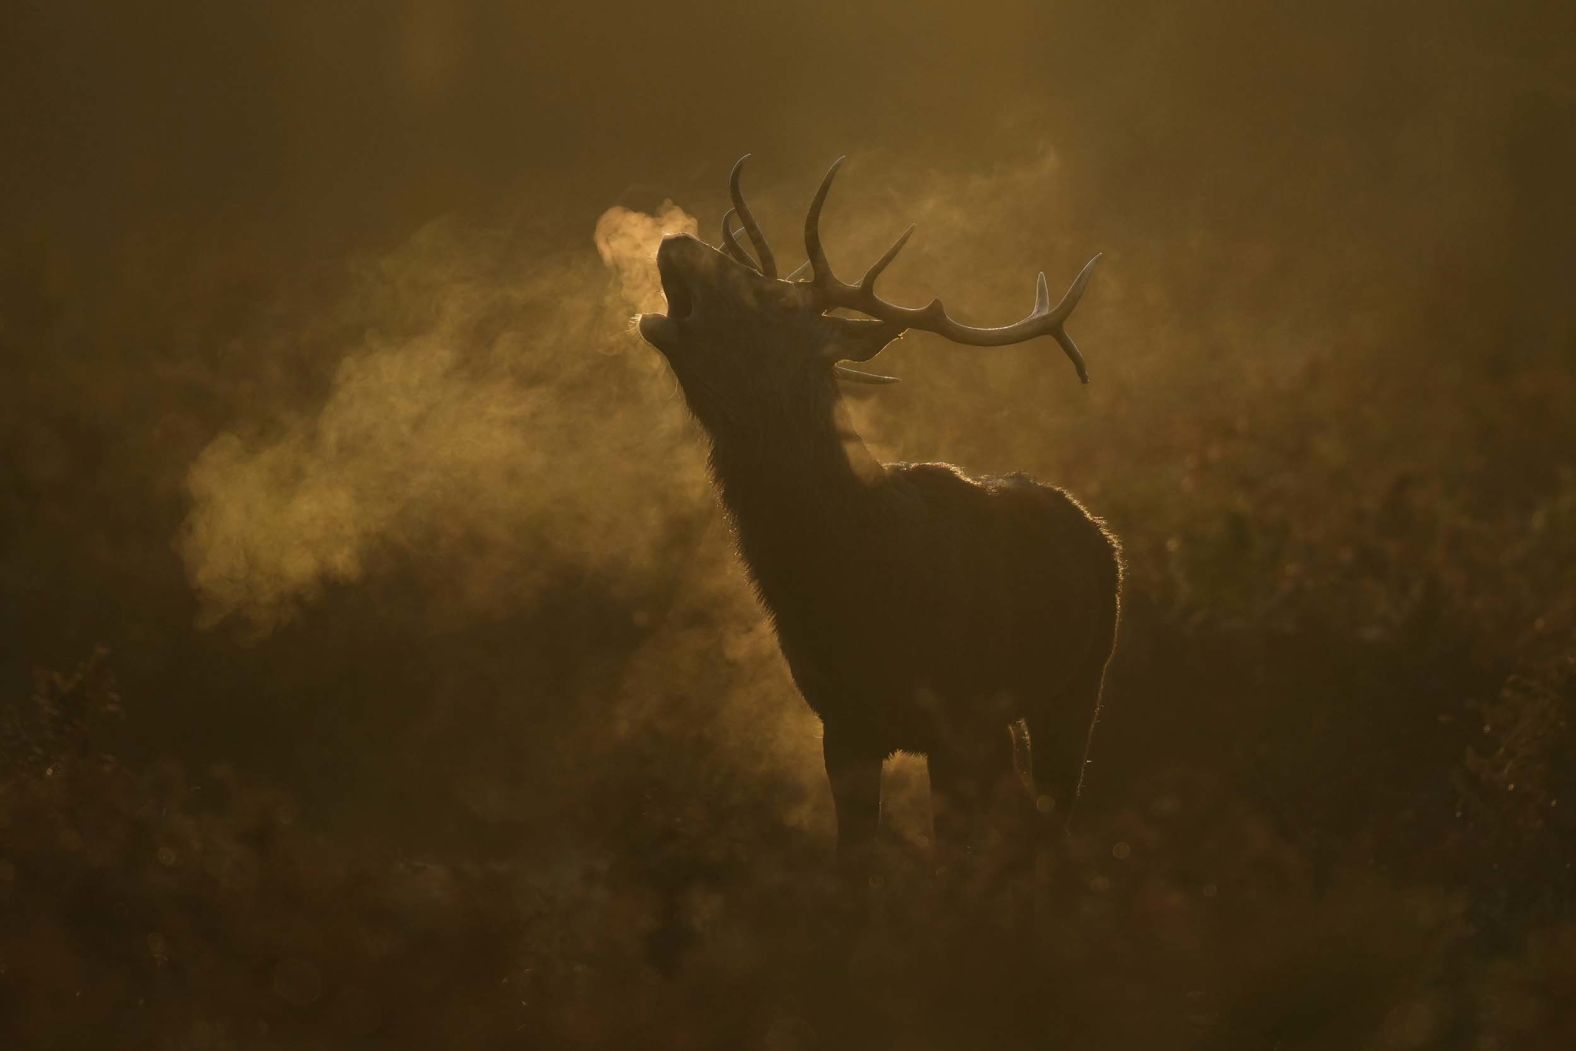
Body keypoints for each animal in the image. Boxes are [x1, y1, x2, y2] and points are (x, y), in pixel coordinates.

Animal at [637, 156, 1121, 890]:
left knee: (1050, 819)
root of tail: (1099, 533)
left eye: (775, 301)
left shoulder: (958, 720)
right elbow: (853, 870)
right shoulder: (842, 723)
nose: (676, 241)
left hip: (1077, 683)